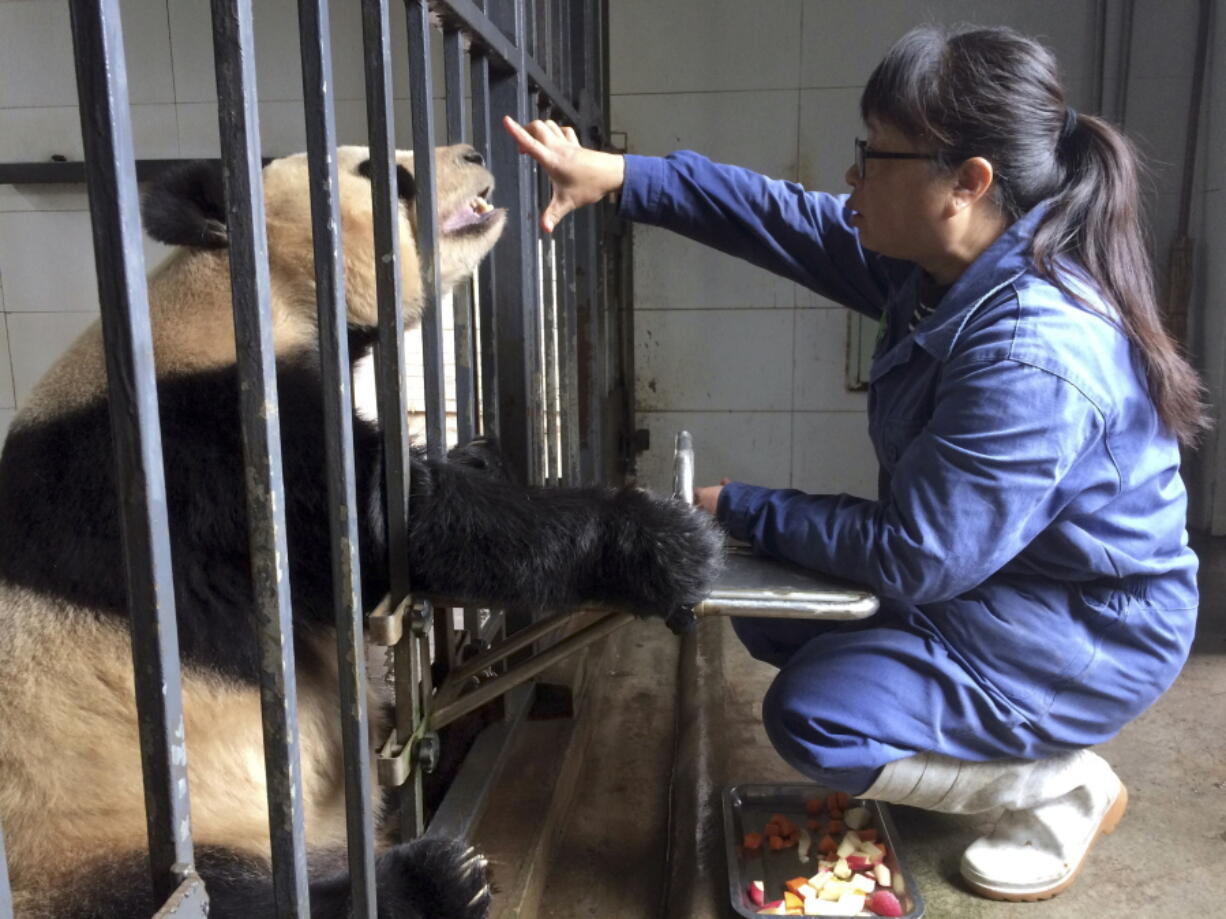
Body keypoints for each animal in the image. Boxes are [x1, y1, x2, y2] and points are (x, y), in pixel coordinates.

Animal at [0, 145, 725, 919]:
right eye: (382, 173)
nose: (474, 153)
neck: (236, 296)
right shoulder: (205, 451)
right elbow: (397, 528)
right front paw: (668, 543)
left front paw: (479, 454)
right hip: (93, 841)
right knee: (222, 896)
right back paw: (441, 877)